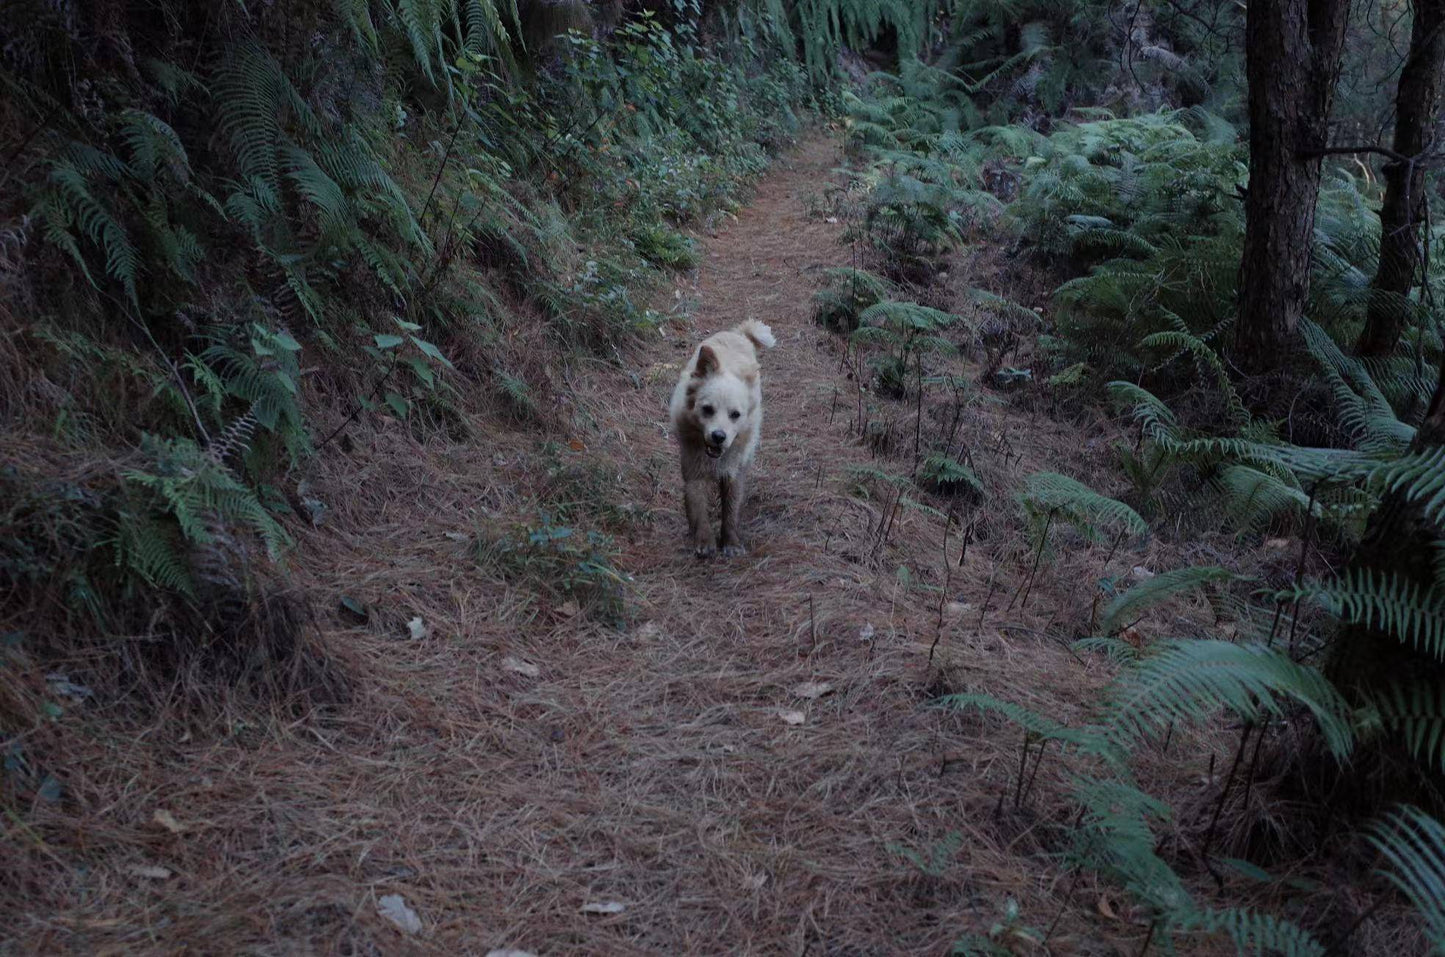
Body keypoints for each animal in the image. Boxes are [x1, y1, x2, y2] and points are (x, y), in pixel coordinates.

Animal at [667, 322, 774, 563]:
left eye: (735, 415)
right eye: (707, 409)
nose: (718, 436)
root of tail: (738, 334)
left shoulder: (734, 473)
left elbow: (731, 510)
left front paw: (731, 543)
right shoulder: (693, 471)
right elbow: (698, 508)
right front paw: (704, 542)